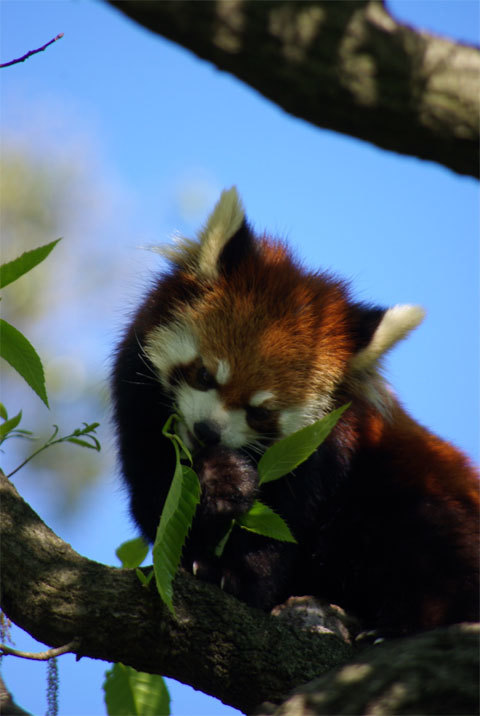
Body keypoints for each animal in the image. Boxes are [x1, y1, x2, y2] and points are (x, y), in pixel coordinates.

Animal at [111, 187, 476, 636]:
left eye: (261, 412)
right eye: (203, 374)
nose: (208, 431)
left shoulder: (324, 452)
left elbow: (282, 531)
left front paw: (239, 577)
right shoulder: (139, 408)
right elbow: (159, 503)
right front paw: (221, 482)